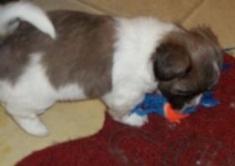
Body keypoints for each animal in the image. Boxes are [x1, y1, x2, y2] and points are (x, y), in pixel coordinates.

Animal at [0, 1, 222, 136]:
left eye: (209, 90)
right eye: (183, 92)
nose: (192, 106)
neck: (152, 52)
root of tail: (7, 41)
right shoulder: (124, 95)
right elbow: (121, 112)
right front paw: (133, 119)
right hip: (37, 97)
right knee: (18, 111)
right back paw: (37, 128)